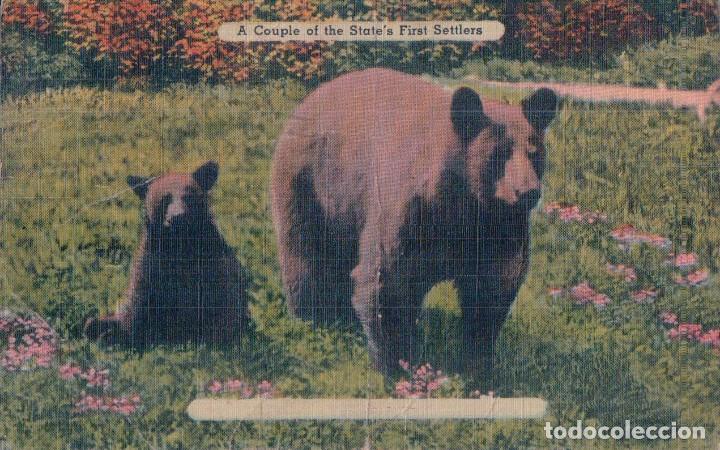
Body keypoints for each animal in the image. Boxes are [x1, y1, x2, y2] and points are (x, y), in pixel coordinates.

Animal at [84, 161, 248, 348]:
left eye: (188, 196)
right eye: (164, 198)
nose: (177, 218)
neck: (179, 246)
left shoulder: (214, 265)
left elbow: (223, 308)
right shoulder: (151, 266)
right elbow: (135, 310)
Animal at [270, 68, 558, 374]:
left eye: (534, 152)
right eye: (499, 153)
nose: (528, 192)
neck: (463, 206)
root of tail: (312, 97)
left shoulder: (500, 229)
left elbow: (493, 287)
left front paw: (478, 364)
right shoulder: (409, 214)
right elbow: (388, 283)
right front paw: (397, 366)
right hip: (311, 182)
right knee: (306, 256)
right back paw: (314, 320)